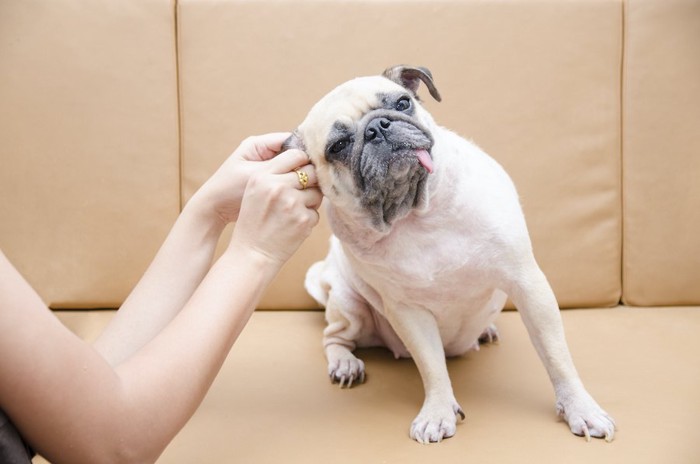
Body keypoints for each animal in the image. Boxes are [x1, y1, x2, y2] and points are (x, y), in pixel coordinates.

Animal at [282, 64, 616, 442]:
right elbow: (432, 367)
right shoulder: (408, 312)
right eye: (338, 146)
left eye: (402, 103)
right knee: (334, 337)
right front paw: (438, 411)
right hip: (348, 304)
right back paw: (345, 363)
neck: (415, 215)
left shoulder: (527, 285)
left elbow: (557, 357)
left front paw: (581, 408)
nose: (377, 127)